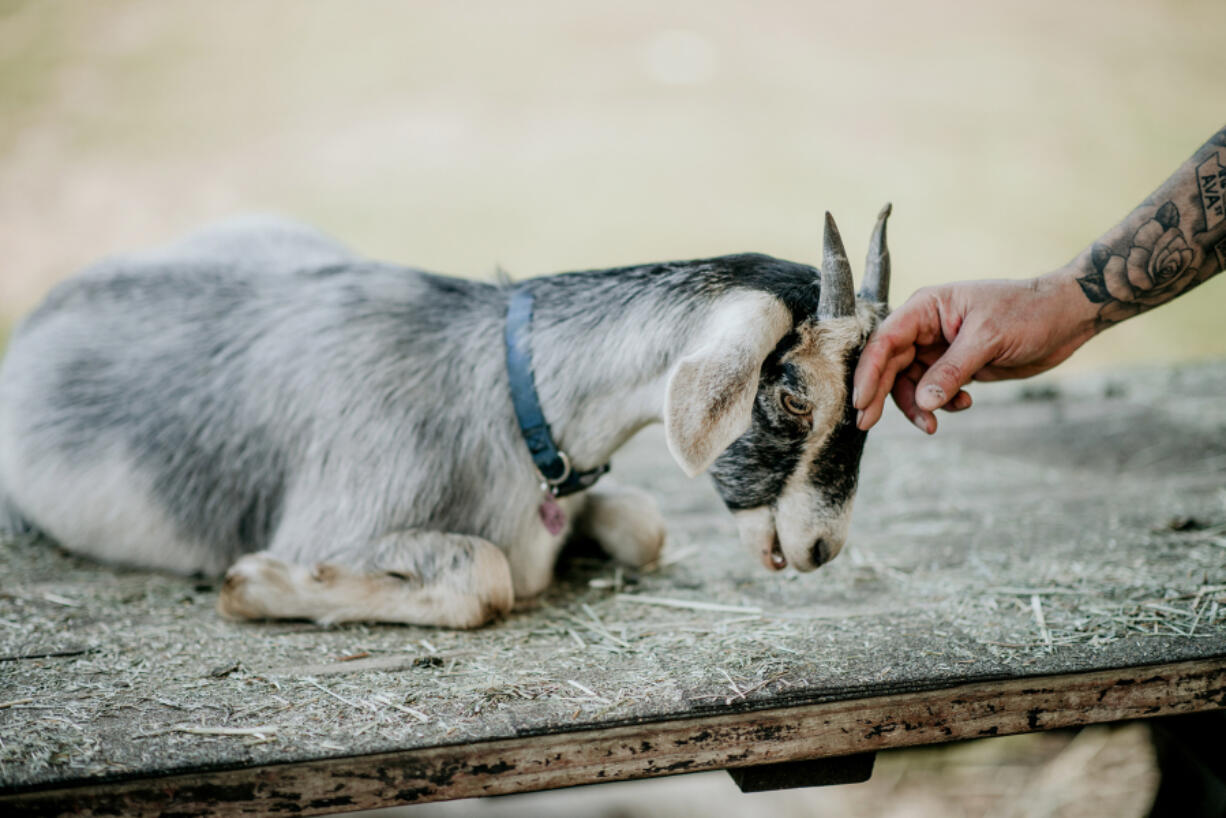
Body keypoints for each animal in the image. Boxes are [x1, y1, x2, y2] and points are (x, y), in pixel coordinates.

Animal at [2, 209, 902, 627]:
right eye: (794, 395)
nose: (820, 549)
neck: (502, 395)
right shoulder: (334, 518)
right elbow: (485, 577)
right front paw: (258, 585)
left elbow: (645, 526)